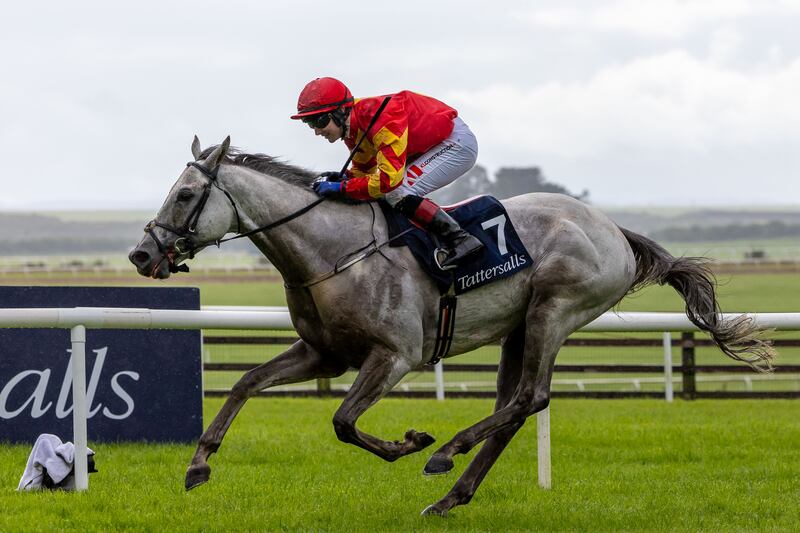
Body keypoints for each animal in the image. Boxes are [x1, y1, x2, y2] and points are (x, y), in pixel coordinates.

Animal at [131, 137, 776, 516]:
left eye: (185, 194)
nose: (142, 254)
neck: (332, 252)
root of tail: (614, 230)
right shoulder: (324, 354)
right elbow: (245, 382)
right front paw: (198, 464)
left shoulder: (394, 356)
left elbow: (343, 421)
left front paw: (409, 443)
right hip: (518, 330)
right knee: (515, 407)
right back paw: (452, 495)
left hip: (554, 310)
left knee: (532, 397)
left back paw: (445, 454)